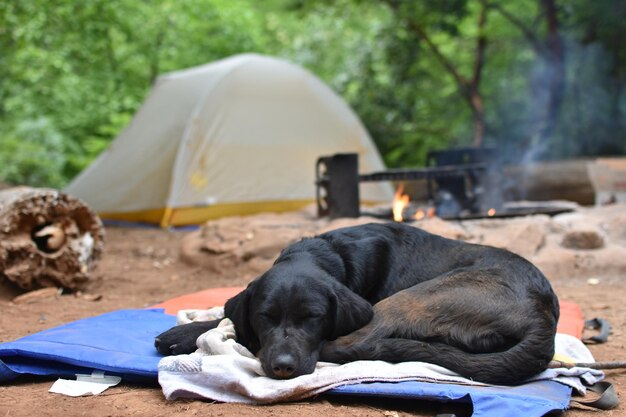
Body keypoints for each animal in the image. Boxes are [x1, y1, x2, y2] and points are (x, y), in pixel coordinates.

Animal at [155, 223, 556, 386]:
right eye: (265, 317)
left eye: (313, 318)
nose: (283, 366)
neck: (324, 253)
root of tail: (544, 316)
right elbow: (227, 313)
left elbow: (230, 322)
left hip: (415, 296)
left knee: (359, 343)